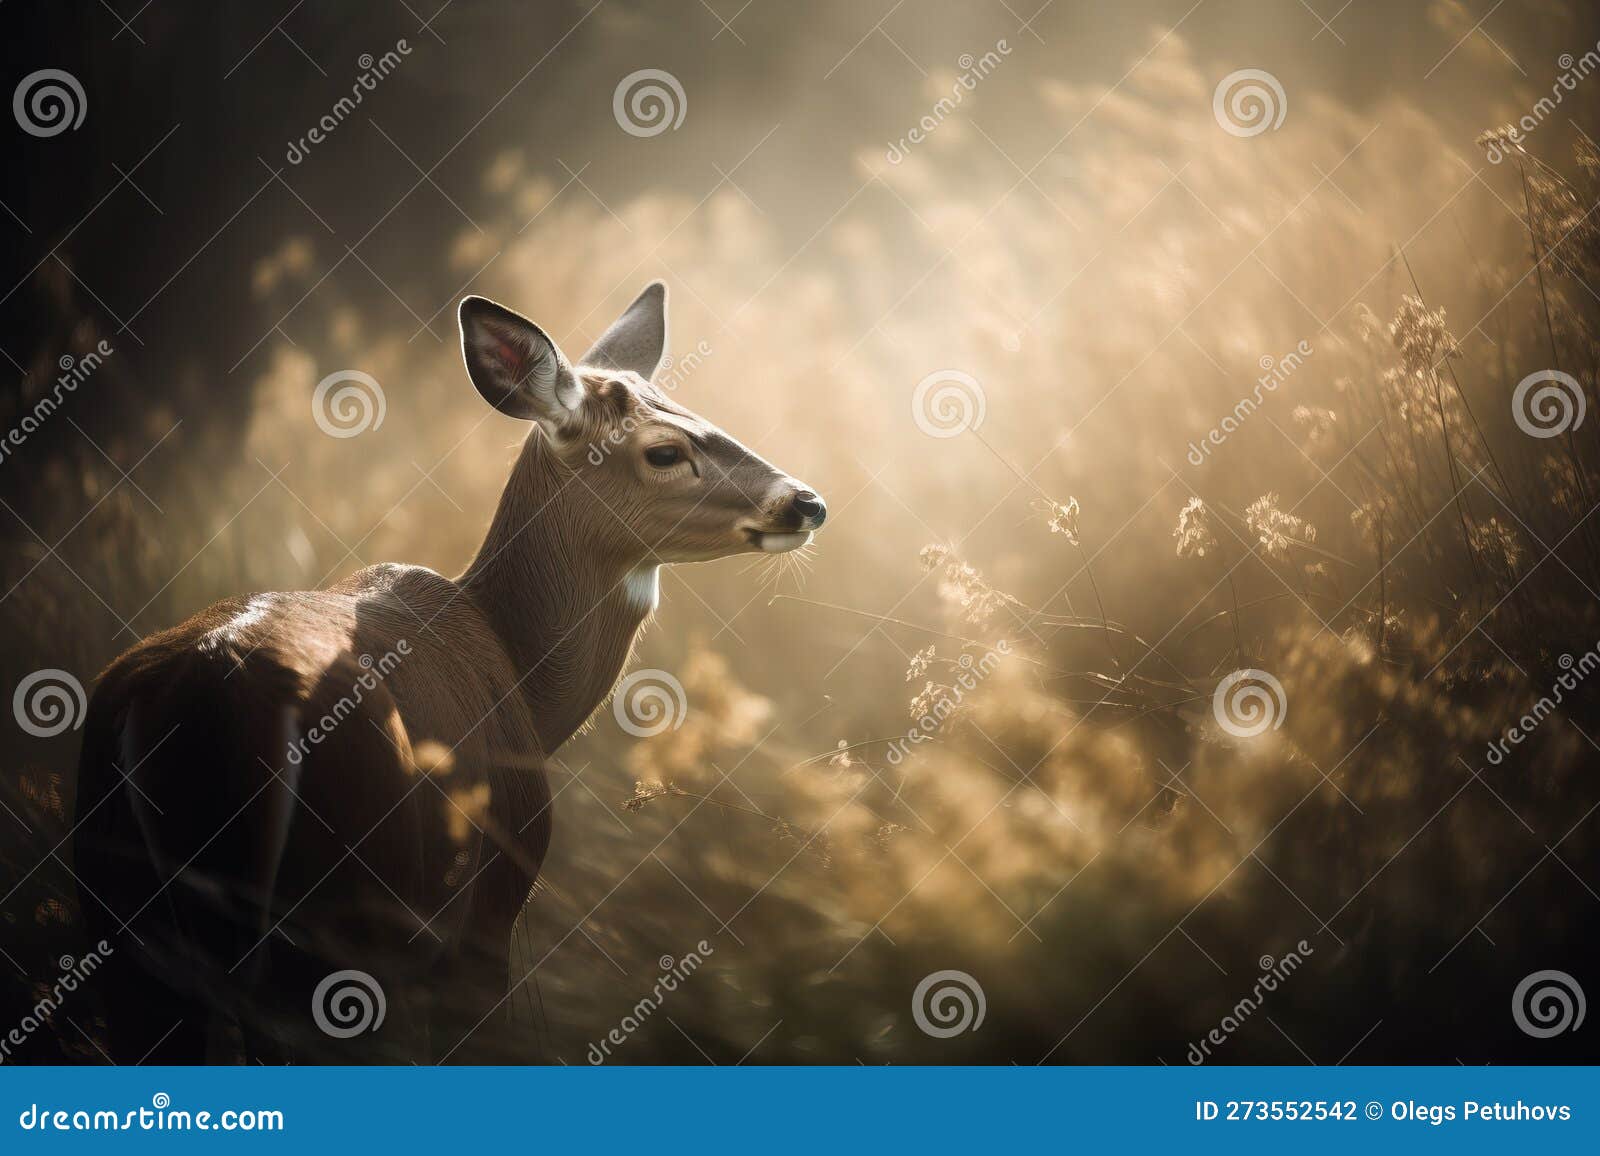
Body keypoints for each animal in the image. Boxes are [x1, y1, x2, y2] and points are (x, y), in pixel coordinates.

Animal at [72, 283, 826, 1063]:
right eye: (665, 450)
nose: (806, 502)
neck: (520, 672)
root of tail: (205, 701)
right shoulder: (488, 915)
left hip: (124, 929)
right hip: (335, 926)